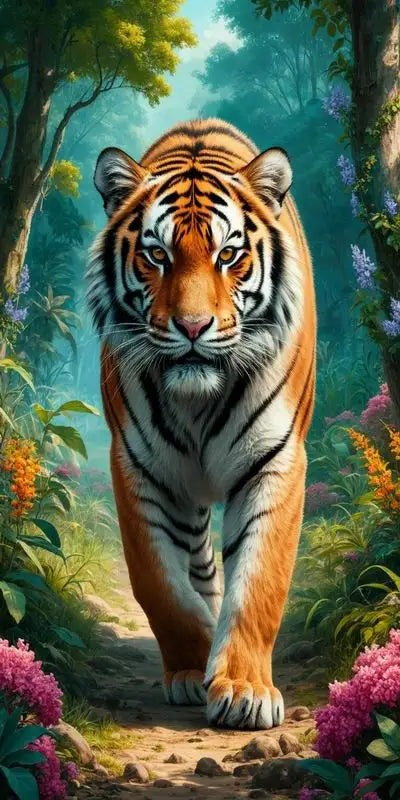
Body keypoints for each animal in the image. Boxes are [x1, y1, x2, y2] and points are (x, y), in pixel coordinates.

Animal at [88, 118, 316, 730]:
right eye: (157, 255)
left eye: (229, 255)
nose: (192, 326)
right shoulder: (137, 466)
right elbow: (160, 587)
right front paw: (193, 670)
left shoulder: (275, 459)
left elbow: (259, 583)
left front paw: (243, 690)